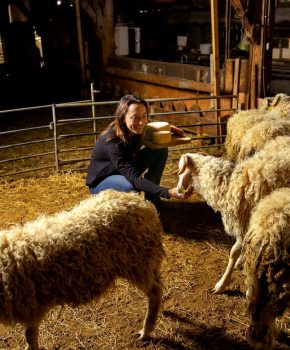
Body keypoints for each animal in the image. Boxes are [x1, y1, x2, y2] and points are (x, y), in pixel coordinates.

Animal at [0, 190, 164, 348]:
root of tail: (142, 202)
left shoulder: (31, 308)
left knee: (155, 292)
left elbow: (30, 338)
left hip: (138, 263)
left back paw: (145, 332)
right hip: (146, 261)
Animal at [176, 135, 290, 294]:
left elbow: (233, 252)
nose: (178, 190)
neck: (228, 185)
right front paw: (239, 263)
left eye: (180, 171)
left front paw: (222, 284)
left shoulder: (247, 224)